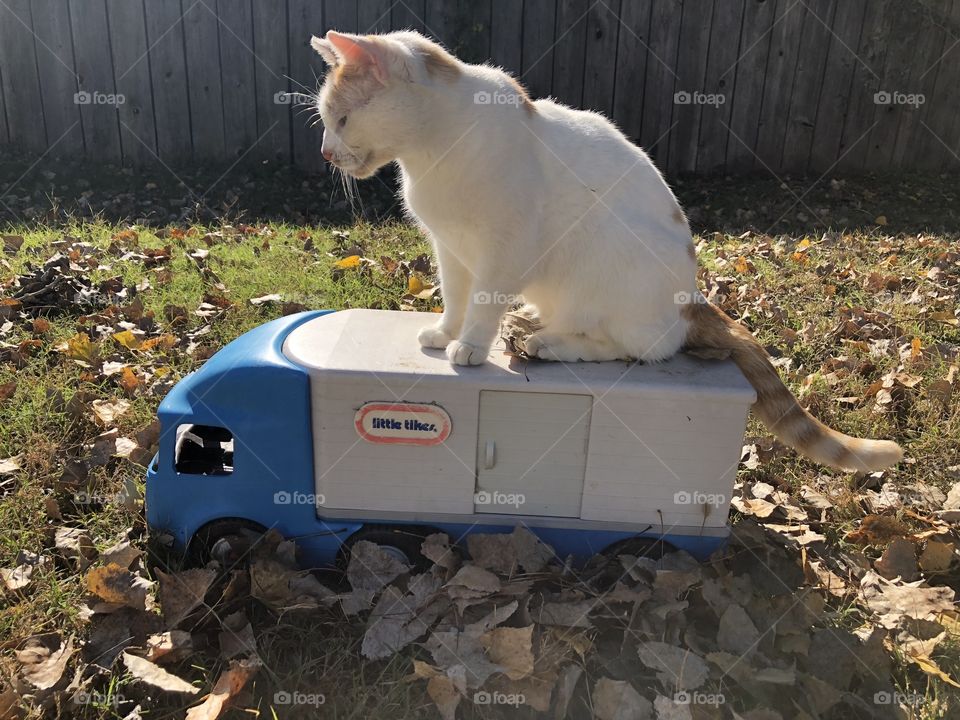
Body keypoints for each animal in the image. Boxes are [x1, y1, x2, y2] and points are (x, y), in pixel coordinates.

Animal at [308, 31, 900, 476]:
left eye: (342, 119)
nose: (325, 154)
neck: (432, 154)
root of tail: (693, 299)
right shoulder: (450, 248)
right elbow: (457, 299)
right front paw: (446, 332)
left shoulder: (504, 249)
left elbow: (483, 303)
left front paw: (471, 346)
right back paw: (533, 325)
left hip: (606, 264)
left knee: (637, 348)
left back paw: (549, 342)